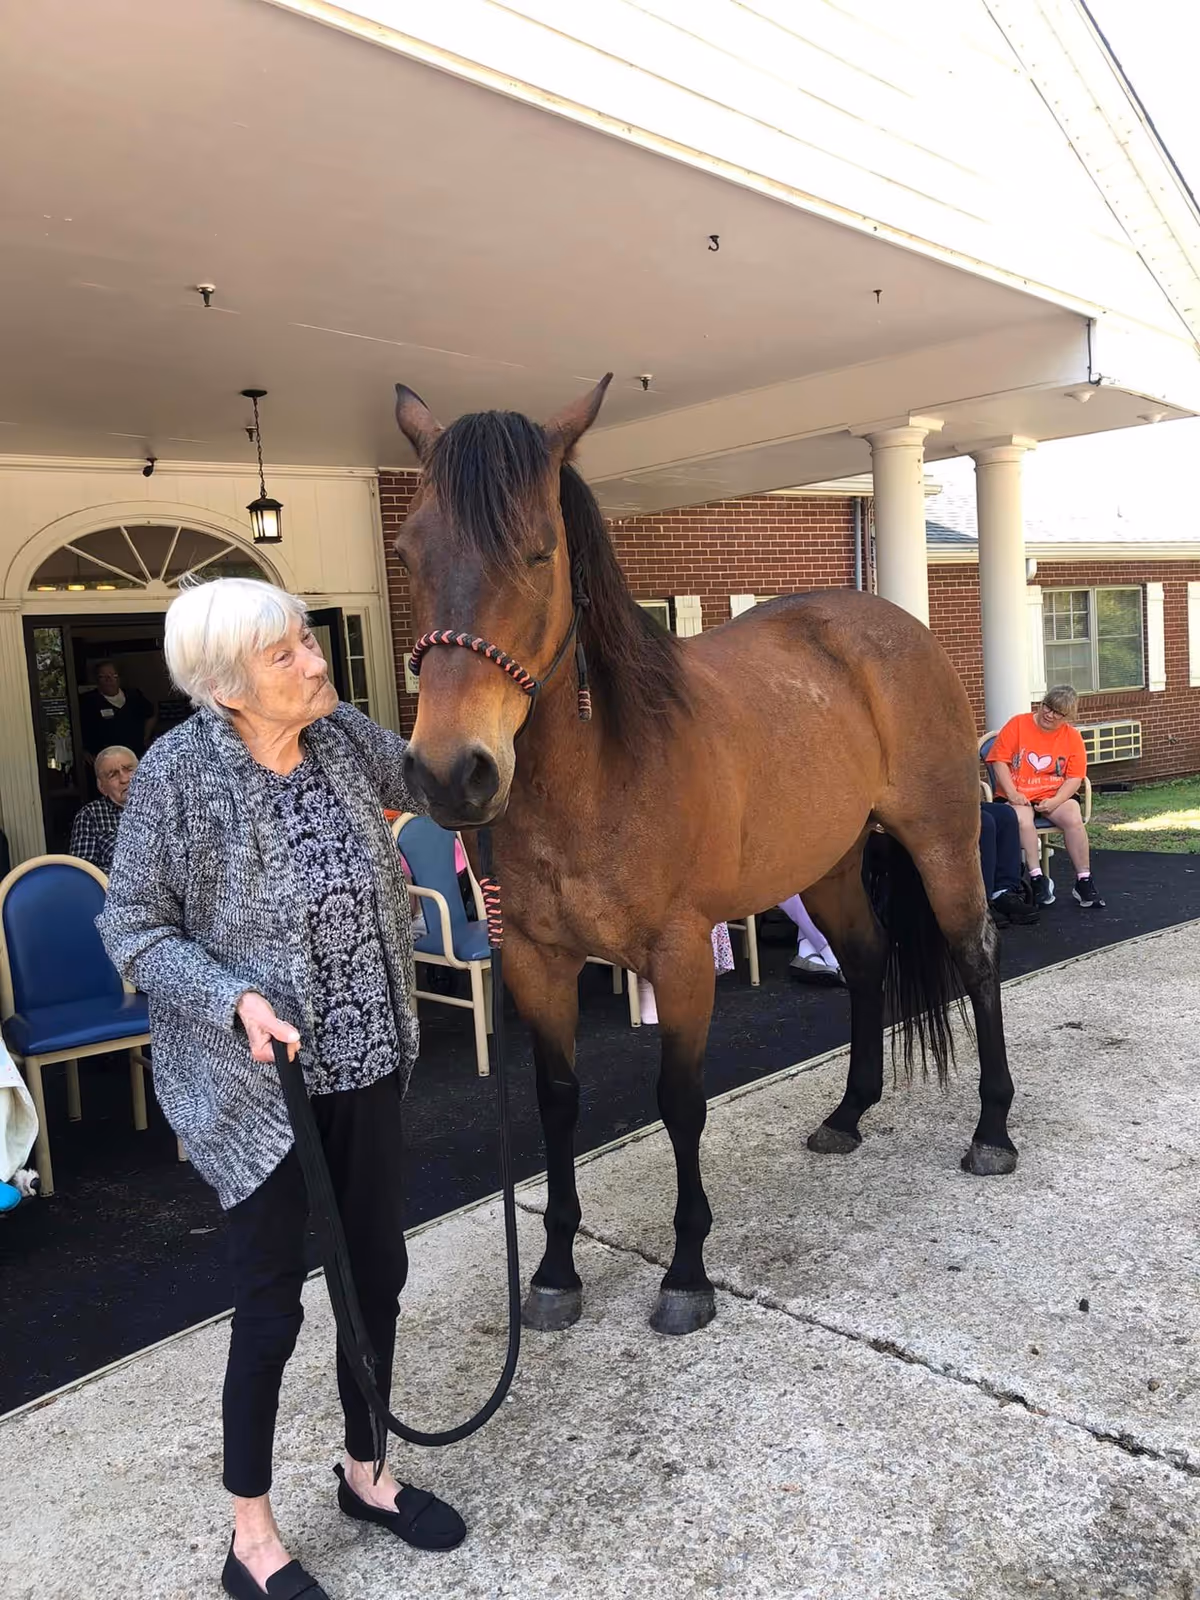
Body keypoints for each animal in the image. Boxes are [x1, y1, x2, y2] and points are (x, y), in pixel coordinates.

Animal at [391, 374, 1017, 1339]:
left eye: (538, 552)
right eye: (409, 551)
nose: (452, 773)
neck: (605, 773)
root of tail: (891, 623)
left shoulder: (681, 957)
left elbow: (680, 1103)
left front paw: (686, 1272)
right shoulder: (535, 960)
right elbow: (556, 1102)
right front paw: (555, 1272)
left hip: (943, 842)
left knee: (976, 955)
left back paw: (992, 1131)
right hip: (827, 868)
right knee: (867, 962)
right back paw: (849, 1112)